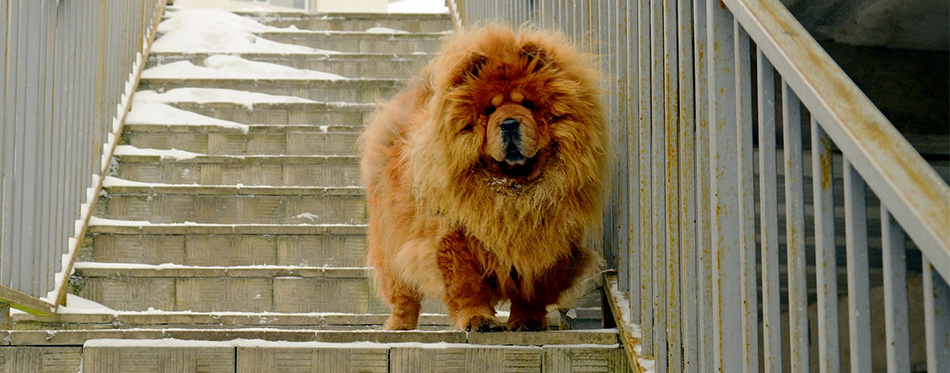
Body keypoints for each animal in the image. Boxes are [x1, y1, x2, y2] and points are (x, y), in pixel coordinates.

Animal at [360, 24, 608, 330]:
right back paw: (400, 327)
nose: (510, 123)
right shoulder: (453, 237)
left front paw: (527, 321)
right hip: (392, 243)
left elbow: (533, 289)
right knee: (403, 294)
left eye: (527, 104)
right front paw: (479, 319)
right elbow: (467, 285)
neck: (513, 191)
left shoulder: (550, 242)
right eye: (490, 110)